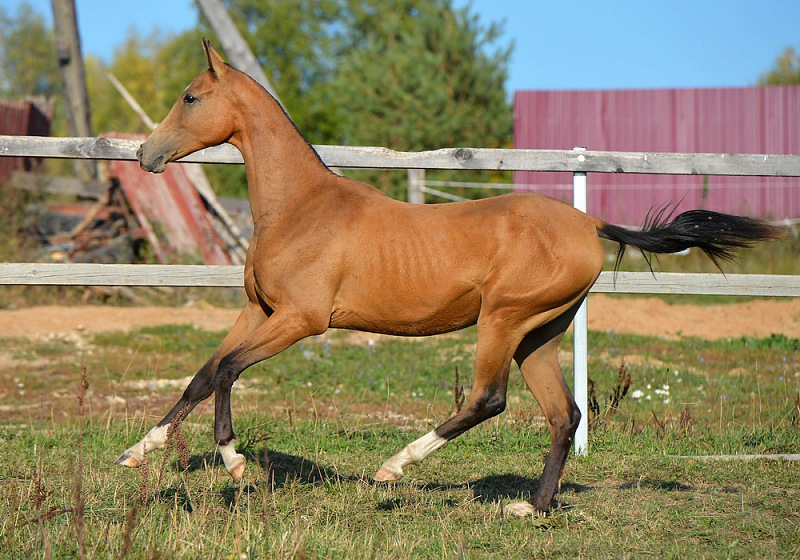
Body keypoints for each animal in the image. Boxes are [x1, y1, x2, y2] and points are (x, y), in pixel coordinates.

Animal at [118, 39, 782, 517]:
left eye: (190, 97)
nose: (146, 154)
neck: (300, 207)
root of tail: (589, 223)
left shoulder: (301, 320)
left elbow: (228, 370)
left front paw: (233, 462)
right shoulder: (257, 311)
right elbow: (203, 374)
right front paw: (136, 452)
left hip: (504, 320)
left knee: (488, 399)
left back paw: (394, 469)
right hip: (540, 335)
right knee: (563, 415)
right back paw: (531, 508)